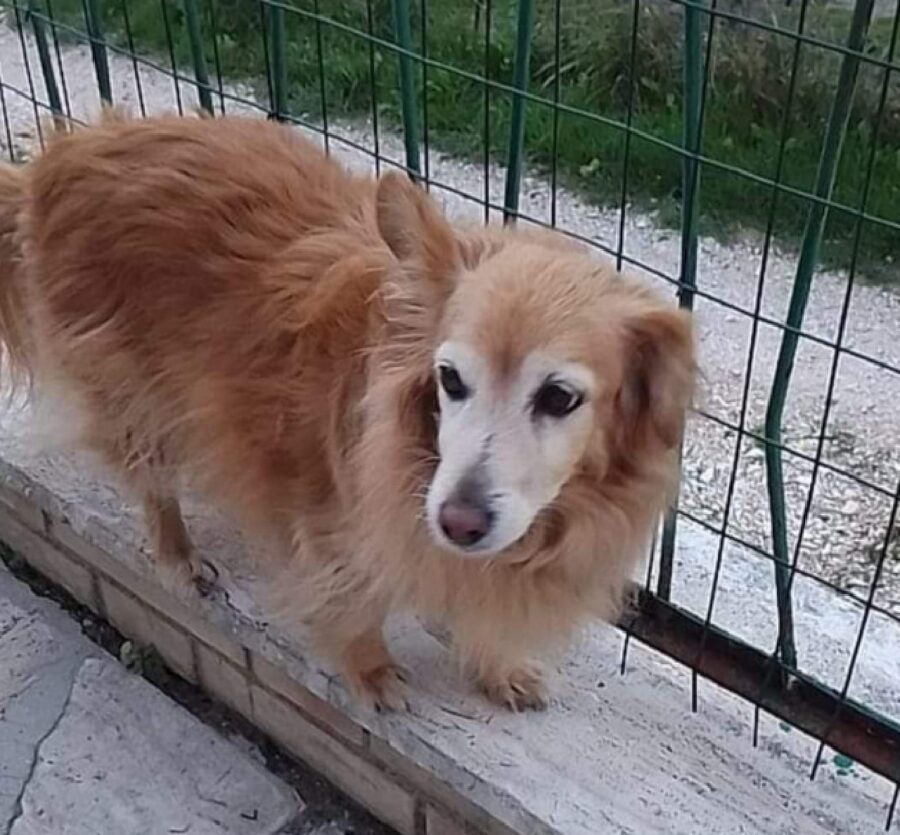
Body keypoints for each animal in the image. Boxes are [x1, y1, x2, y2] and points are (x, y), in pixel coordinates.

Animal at [0, 112, 696, 712]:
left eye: (559, 397)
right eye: (450, 379)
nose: (457, 522)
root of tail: (65, 155)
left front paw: (496, 666)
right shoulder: (330, 516)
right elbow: (354, 601)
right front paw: (372, 671)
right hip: (130, 391)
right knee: (151, 478)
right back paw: (177, 554)